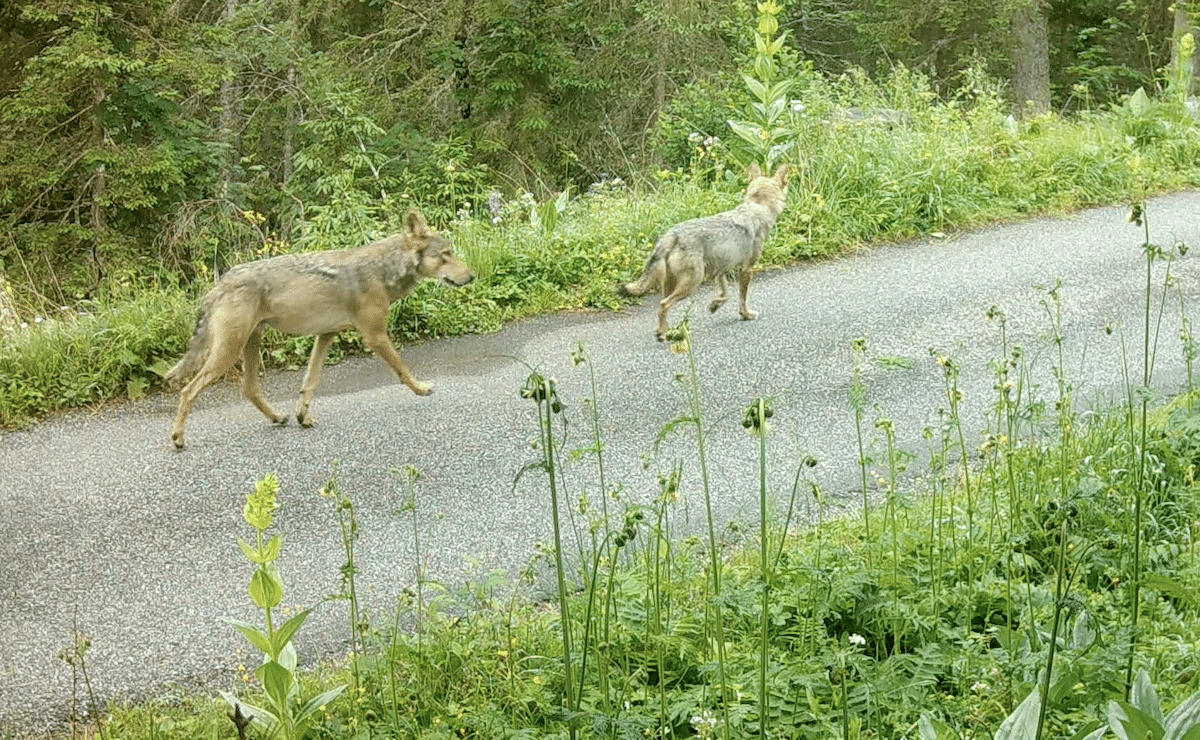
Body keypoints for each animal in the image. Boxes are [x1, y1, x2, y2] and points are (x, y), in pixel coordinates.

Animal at [164, 209, 474, 449]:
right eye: (445, 254)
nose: (472, 276)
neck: (384, 268)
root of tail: (220, 282)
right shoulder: (374, 335)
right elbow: (402, 369)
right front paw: (421, 388)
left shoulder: (326, 335)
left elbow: (310, 382)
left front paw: (303, 416)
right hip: (227, 354)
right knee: (188, 391)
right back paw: (178, 438)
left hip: (248, 345)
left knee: (249, 388)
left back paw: (278, 417)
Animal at [620, 163, 789, 340]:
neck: (758, 206)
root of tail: (671, 235)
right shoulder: (747, 269)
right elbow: (742, 298)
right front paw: (746, 315)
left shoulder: (721, 271)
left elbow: (725, 295)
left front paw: (714, 306)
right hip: (692, 283)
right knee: (663, 304)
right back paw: (664, 334)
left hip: (673, 284)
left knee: (662, 306)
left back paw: (666, 331)